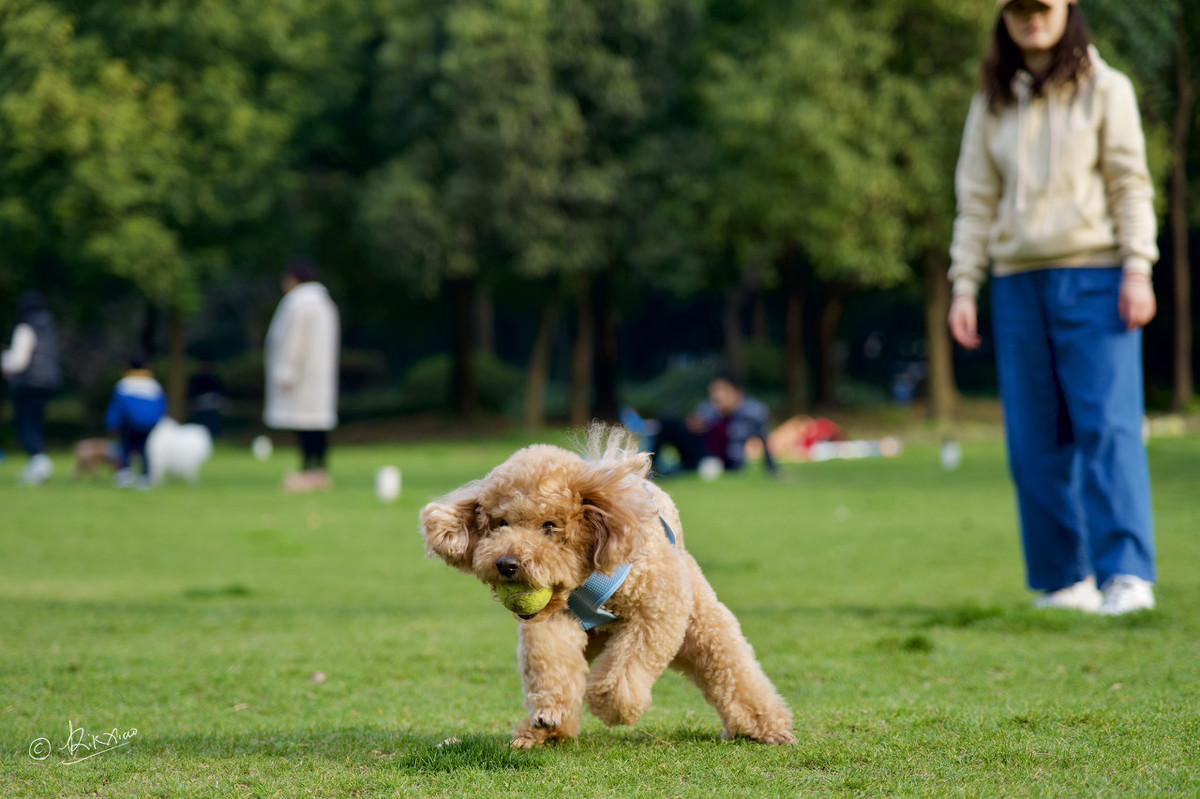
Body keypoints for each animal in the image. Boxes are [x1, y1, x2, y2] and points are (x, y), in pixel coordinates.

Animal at [422, 427, 796, 743]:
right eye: (500, 523)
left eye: (550, 525)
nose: (507, 564)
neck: (586, 578)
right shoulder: (554, 621)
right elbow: (551, 660)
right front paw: (549, 712)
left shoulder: (656, 614)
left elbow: (626, 671)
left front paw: (611, 706)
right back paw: (540, 733)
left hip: (700, 622)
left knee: (731, 666)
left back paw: (766, 727)